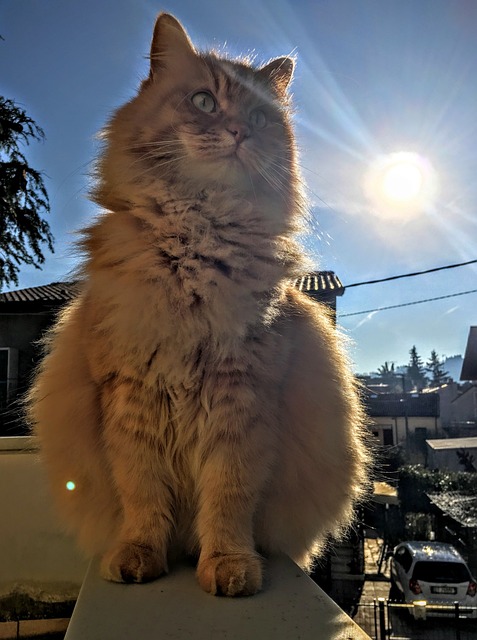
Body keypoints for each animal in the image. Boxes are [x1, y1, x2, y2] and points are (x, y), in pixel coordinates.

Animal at [27, 12, 368, 596]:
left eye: (258, 116)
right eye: (204, 102)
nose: (239, 133)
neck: (196, 244)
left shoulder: (241, 399)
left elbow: (228, 498)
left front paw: (230, 567)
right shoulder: (131, 398)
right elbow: (143, 497)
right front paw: (140, 557)